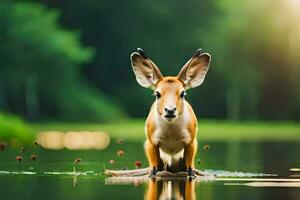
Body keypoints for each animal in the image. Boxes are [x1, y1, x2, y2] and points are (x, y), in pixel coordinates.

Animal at [131, 47, 211, 179]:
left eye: (183, 93)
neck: (171, 137)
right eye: (157, 93)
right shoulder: (151, 141)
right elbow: (153, 170)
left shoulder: (191, 141)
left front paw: (192, 174)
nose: (170, 110)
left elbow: (190, 169)